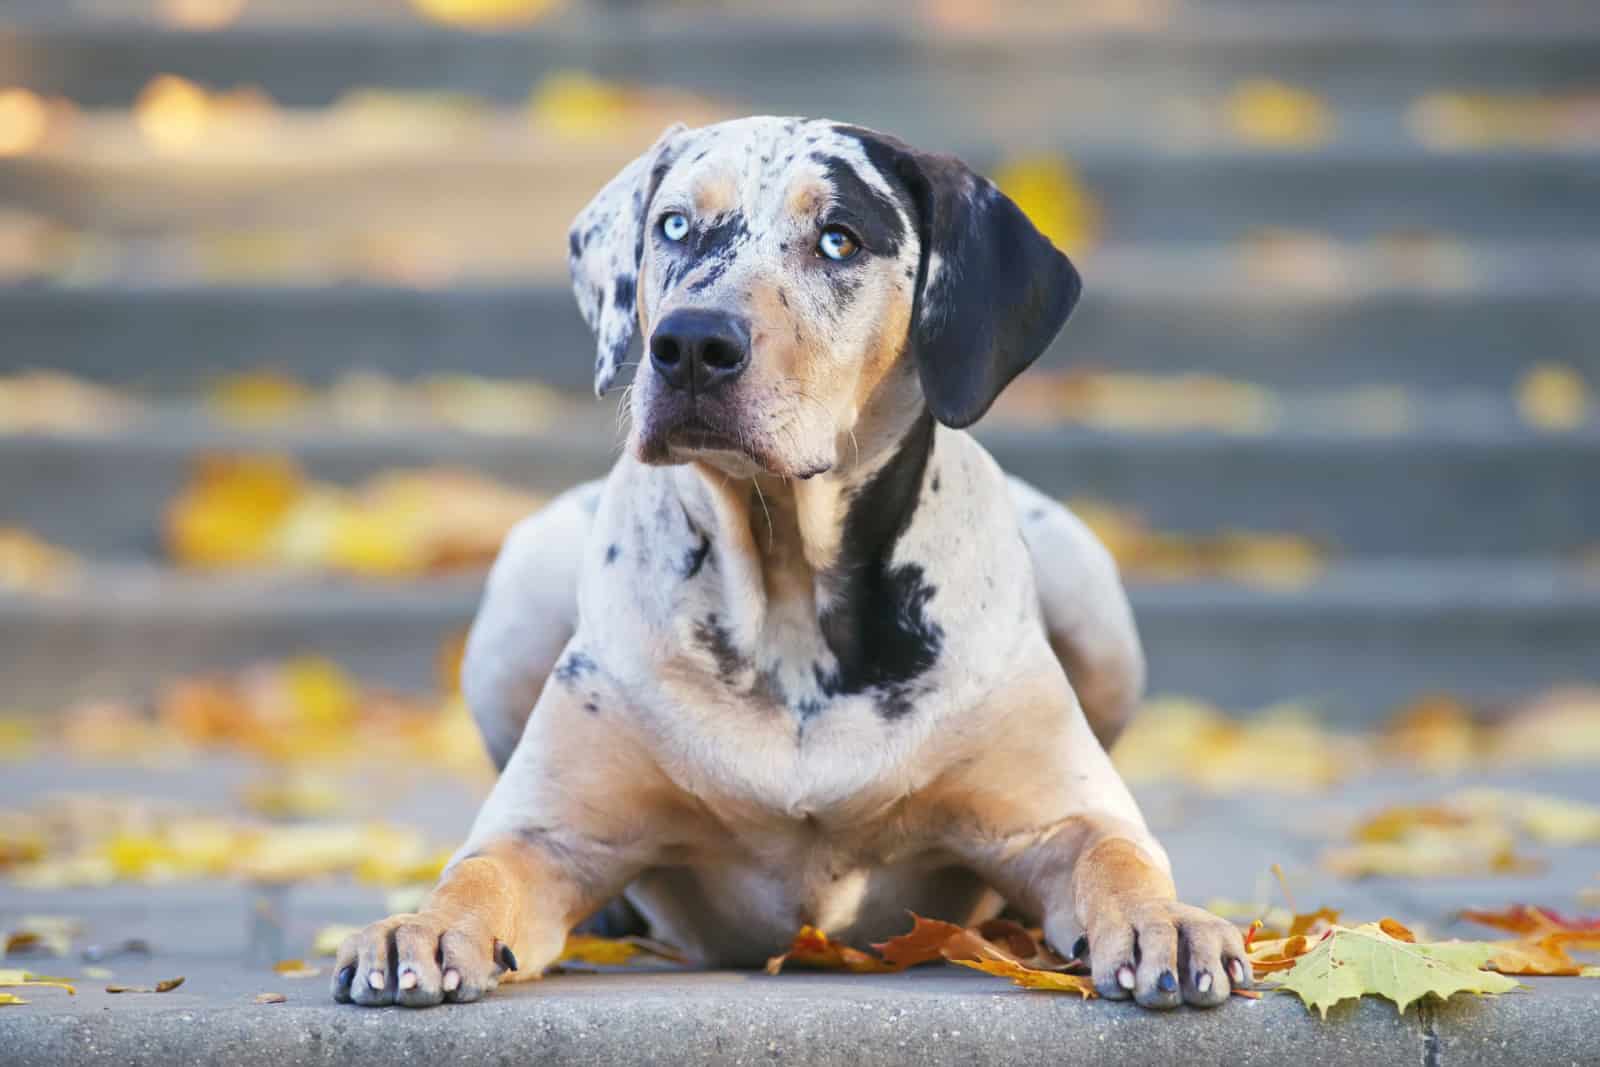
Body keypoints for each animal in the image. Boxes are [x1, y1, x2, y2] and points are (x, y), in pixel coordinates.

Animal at [328, 116, 1248, 1011]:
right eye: (674, 225)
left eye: (839, 239)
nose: (691, 342)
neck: (786, 587)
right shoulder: (550, 832)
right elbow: (481, 868)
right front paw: (423, 925)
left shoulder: (1057, 816)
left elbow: (1113, 852)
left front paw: (1164, 919)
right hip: (520, 592)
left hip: (1091, 595)